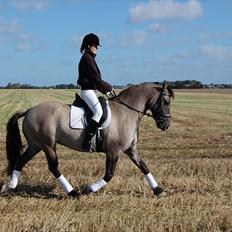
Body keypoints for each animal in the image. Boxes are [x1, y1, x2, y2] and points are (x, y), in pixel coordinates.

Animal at [0, 81, 174, 198]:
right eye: (166, 101)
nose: (165, 125)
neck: (126, 112)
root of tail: (29, 110)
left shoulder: (131, 150)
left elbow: (144, 167)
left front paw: (159, 190)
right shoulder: (113, 151)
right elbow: (109, 174)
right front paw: (88, 189)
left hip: (35, 145)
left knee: (19, 162)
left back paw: (10, 187)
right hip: (47, 145)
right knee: (53, 167)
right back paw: (72, 192)